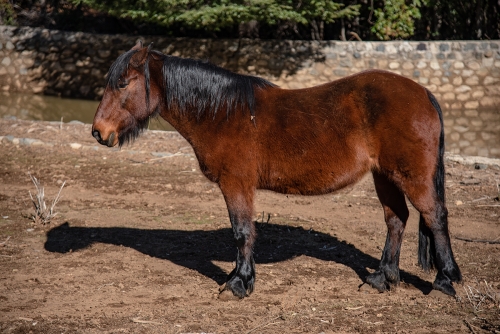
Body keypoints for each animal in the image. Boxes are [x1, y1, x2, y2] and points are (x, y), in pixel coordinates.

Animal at [93, 40, 460, 298]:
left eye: (123, 83)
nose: (98, 132)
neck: (221, 112)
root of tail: (424, 93)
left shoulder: (236, 183)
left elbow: (242, 232)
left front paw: (238, 284)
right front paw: (241, 278)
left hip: (412, 177)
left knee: (435, 216)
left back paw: (444, 280)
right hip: (385, 176)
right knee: (396, 220)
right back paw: (382, 278)